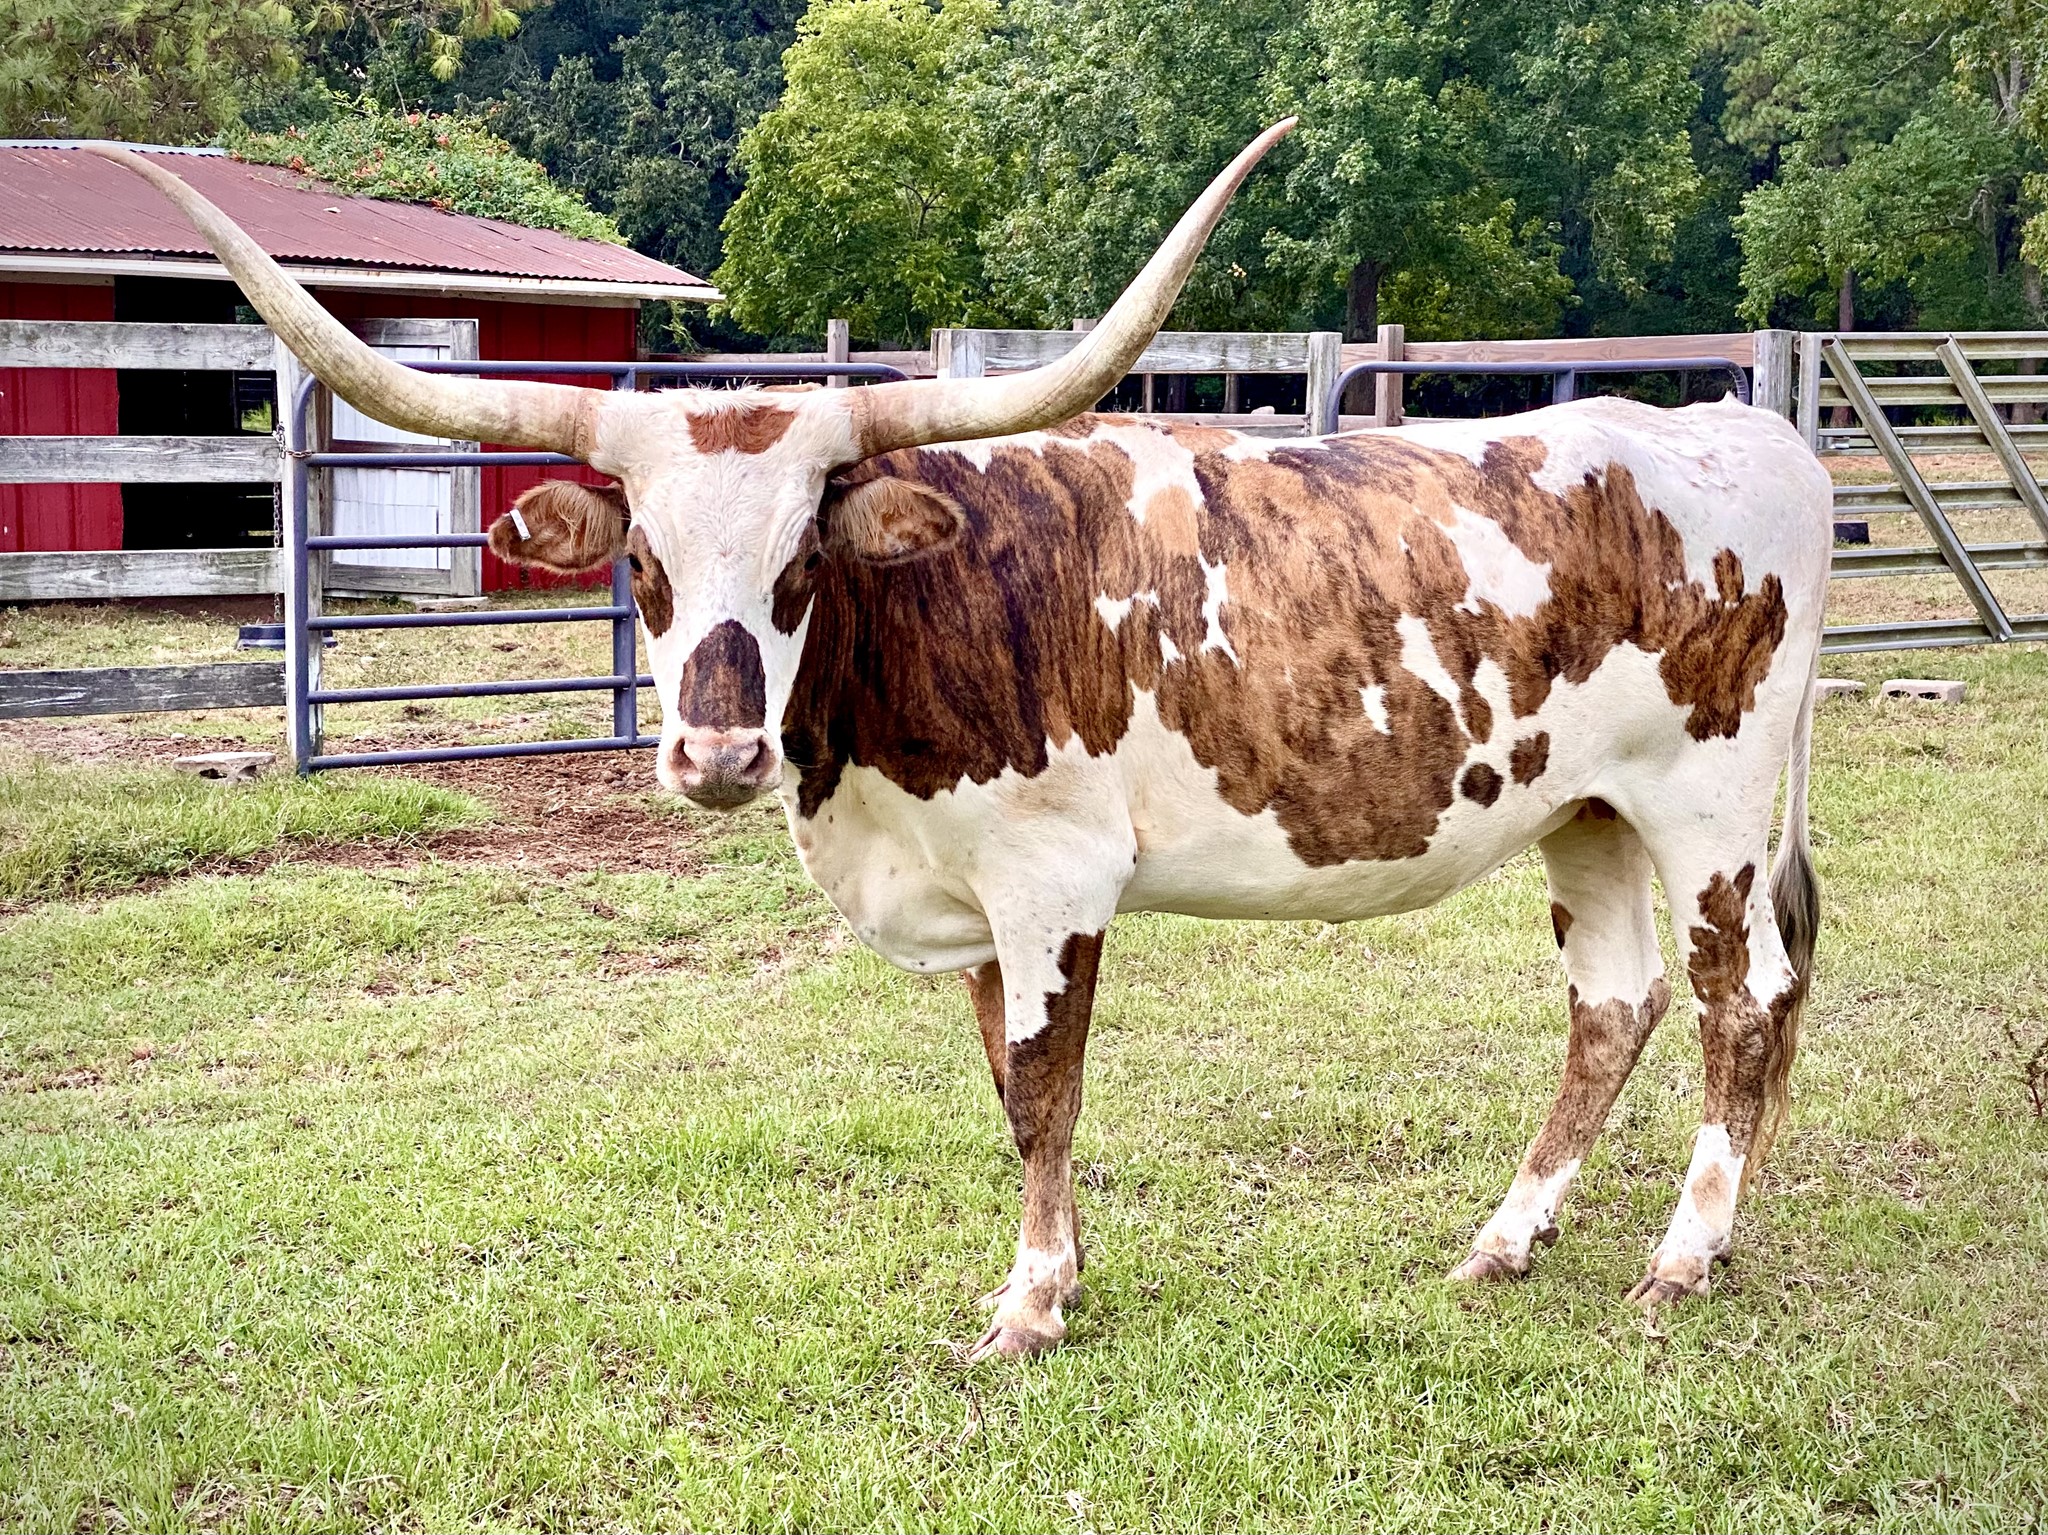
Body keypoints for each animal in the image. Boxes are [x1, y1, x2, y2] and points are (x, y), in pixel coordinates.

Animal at [100, 123, 1830, 1363]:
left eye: (805, 551)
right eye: (641, 558)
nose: (716, 755)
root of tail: (1741, 426)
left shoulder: (1053, 880)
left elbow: (1046, 1092)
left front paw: (1030, 1303)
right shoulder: (970, 904)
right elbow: (1007, 1093)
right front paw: (1052, 1277)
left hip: (1711, 808)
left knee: (1745, 994)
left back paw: (1686, 1252)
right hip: (1583, 810)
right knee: (1615, 1003)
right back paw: (1506, 1236)